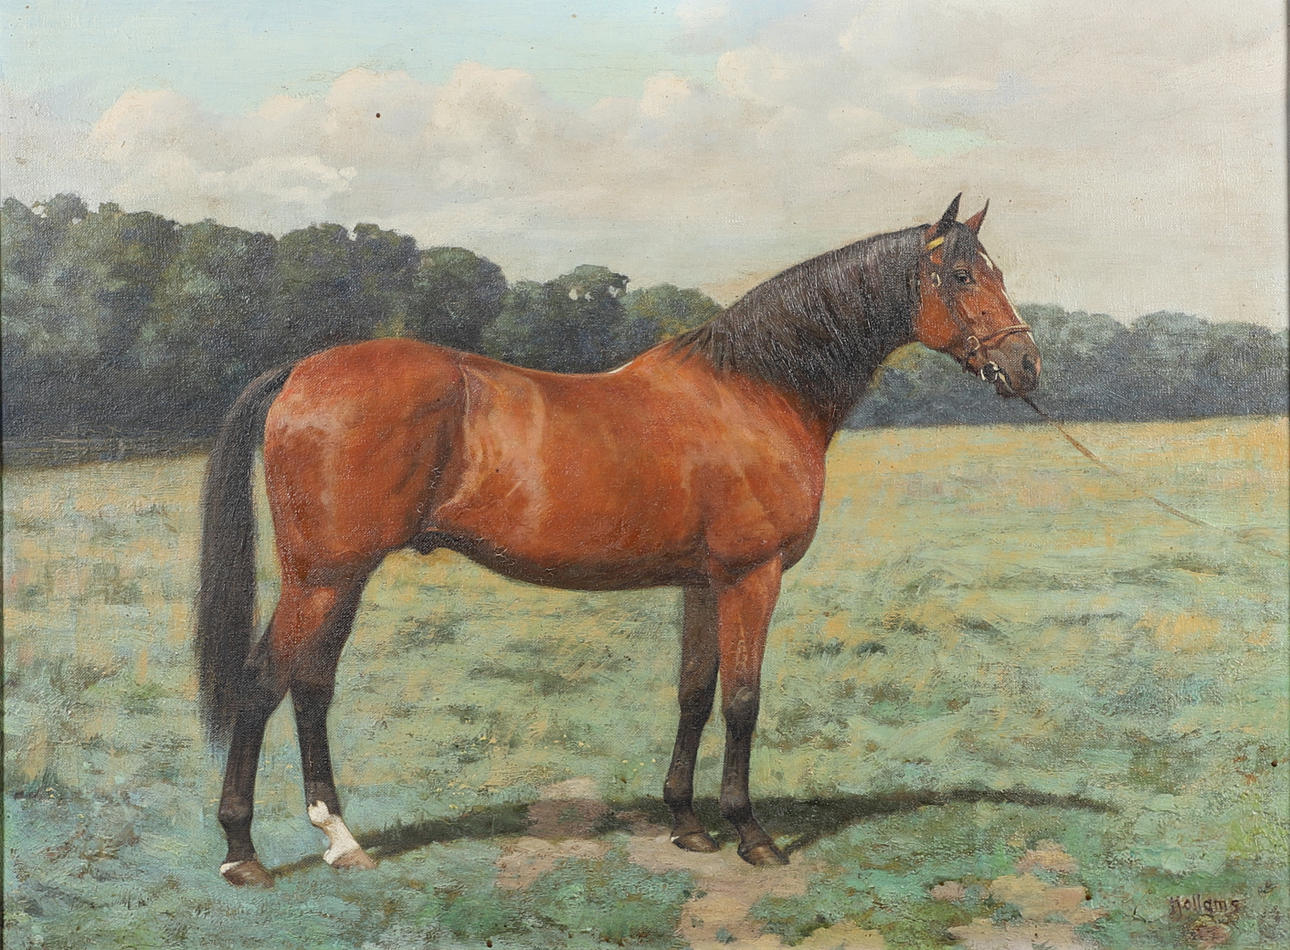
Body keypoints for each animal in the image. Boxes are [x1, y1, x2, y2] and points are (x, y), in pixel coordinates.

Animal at [195, 195, 1040, 887]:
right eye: (961, 275)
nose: (1027, 363)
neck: (755, 391)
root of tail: (301, 372)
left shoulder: (702, 583)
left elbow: (694, 693)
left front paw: (688, 823)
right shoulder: (752, 577)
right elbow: (742, 699)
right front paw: (751, 834)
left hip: (341, 578)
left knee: (312, 685)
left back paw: (341, 839)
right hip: (323, 577)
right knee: (263, 682)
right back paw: (242, 853)